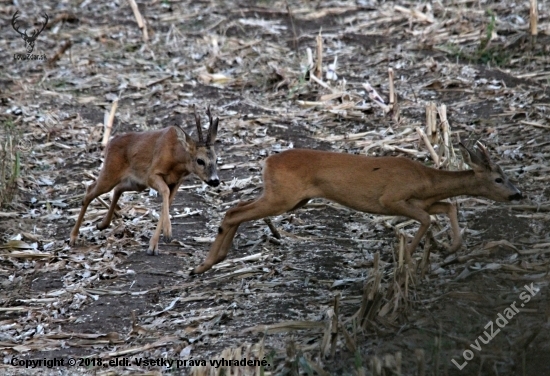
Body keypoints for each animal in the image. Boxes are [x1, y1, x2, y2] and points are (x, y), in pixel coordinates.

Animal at [70, 105, 221, 256]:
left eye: (216, 159)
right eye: (200, 160)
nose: (215, 181)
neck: (176, 159)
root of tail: (111, 142)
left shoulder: (177, 182)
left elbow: (166, 203)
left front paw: (154, 245)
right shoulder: (152, 174)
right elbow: (164, 192)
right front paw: (166, 233)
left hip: (136, 183)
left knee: (118, 188)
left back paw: (101, 224)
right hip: (110, 172)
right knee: (90, 190)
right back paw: (73, 237)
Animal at [192, 141, 524, 274]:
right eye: (498, 178)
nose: (517, 194)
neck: (426, 180)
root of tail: (267, 161)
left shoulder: (424, 201)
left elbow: (448, 207)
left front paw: (448, 248)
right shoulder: (392, 199)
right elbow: (426, 219)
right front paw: (406, 257)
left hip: (290, 198)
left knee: (236, 208)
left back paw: (211, 262)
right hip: (282, 197)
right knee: (234, 211)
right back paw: (205, 264)